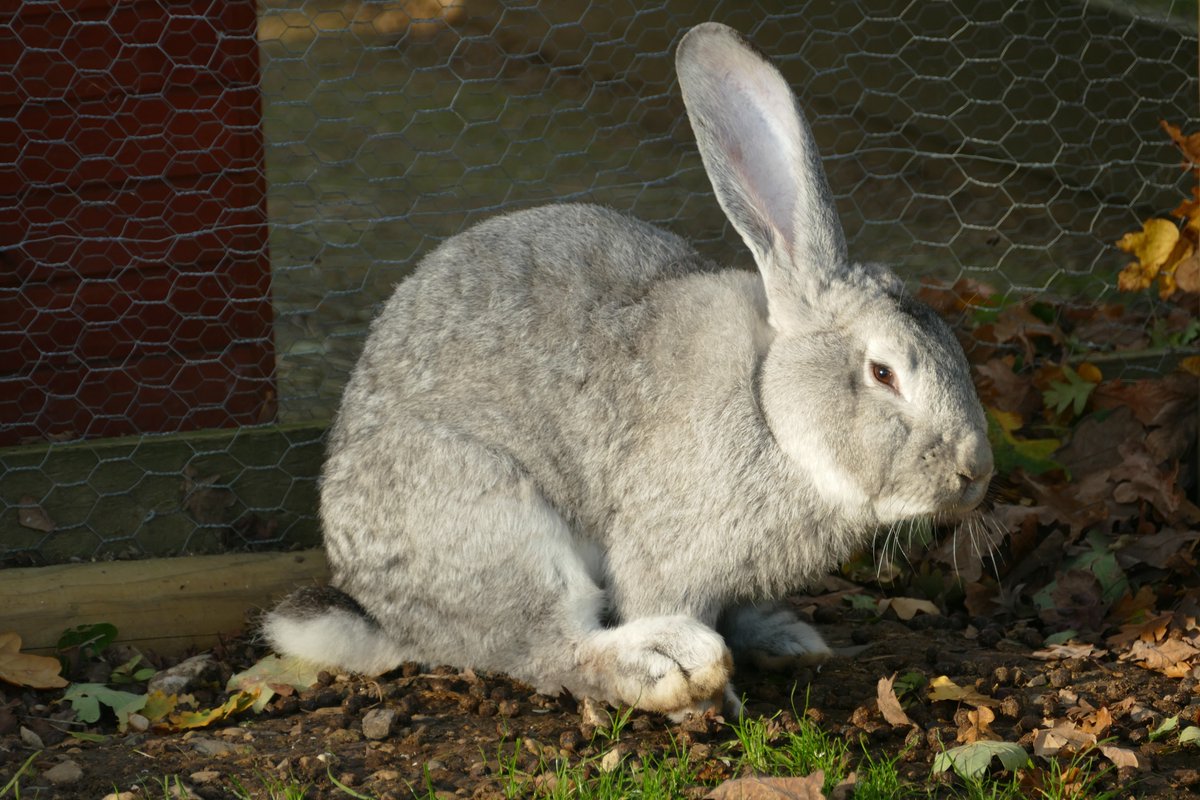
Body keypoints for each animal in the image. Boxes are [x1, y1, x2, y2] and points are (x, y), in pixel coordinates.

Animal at [264, 21, 994, 718]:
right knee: (553, 648)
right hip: (492, 521)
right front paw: (718, 702)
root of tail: (382, 613)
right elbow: (657, 595)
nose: (977, 473)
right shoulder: (668, 555)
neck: (772, 412)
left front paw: (780, 639)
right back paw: (670, 667)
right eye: (883, 373)